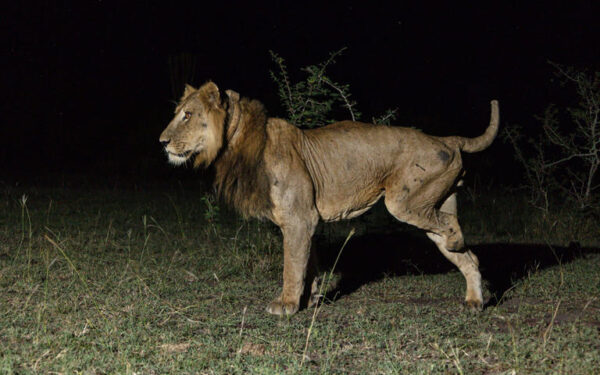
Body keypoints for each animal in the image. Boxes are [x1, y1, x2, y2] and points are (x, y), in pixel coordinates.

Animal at [158, 83, 496, 318]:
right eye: (177, 113)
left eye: (187, 115)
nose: (162, 142)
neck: (236, 142)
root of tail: (445, 139)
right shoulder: (306, 220)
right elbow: (309, 264)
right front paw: (310, 299)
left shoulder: (298, 219)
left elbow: (292, 266)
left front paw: (286, 305)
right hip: (432, 203)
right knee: (469, 257)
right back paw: (475, 301)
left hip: (404, 202)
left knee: (450, 227)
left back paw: (457, 244)